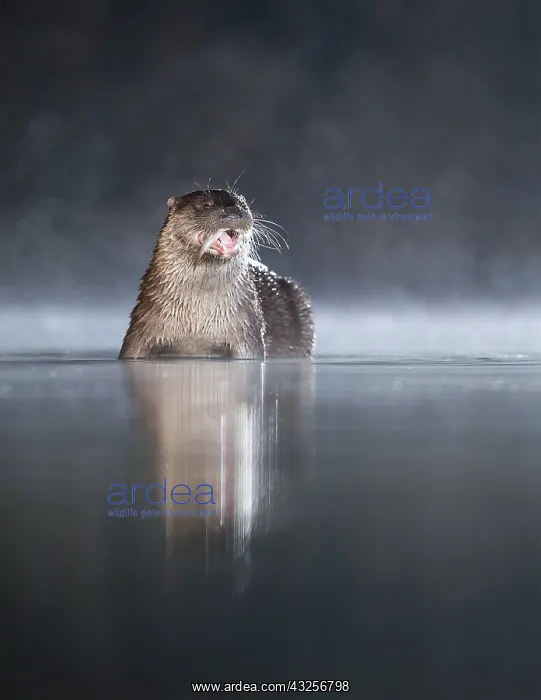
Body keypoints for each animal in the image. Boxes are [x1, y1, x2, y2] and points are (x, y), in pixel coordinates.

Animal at [119, 189, 315, 359]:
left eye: (242, 204)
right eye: (206, 205)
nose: (234, 212)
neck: (197, 320)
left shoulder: (247, 334)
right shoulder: (140, 335)